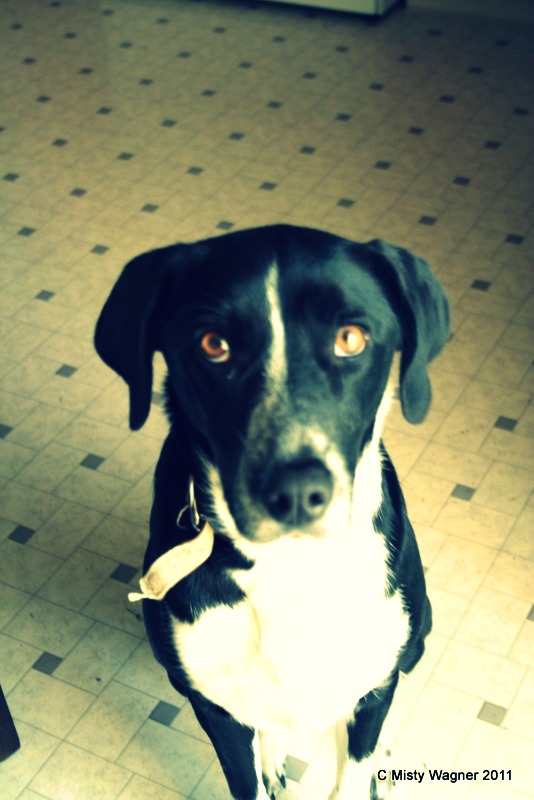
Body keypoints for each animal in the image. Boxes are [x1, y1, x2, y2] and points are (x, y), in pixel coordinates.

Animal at [95, 224, 450, 799]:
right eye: (213, 345)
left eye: (351, 338)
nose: (296, 491)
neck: (291, 567)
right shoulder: (212, 704)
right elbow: (245, 773)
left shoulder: (374, 680)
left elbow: (356, 754)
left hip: (417, 637)